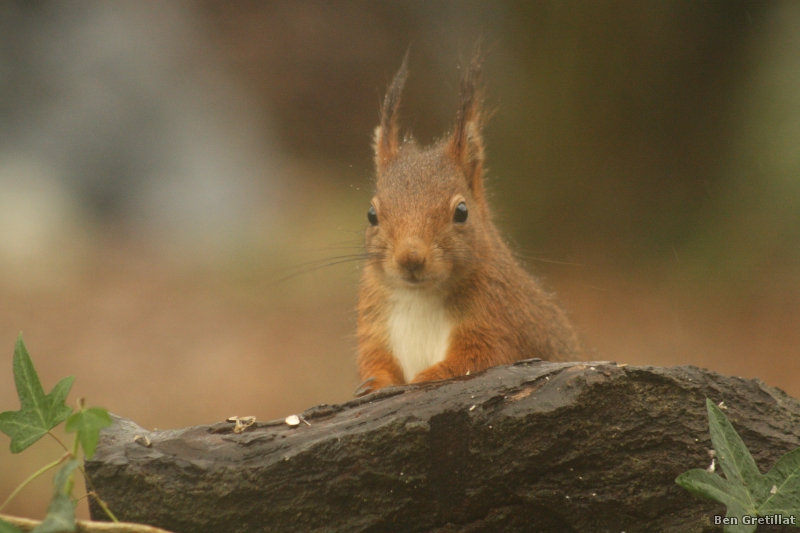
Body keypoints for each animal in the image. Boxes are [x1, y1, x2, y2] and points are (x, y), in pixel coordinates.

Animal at [356, 52, 580, 394]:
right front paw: (372, 387)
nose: (410, 258)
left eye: (461, 212)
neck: (420, 298)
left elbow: (474, 360)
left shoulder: (500, 321)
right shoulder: (375, 326)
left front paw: (424, 378)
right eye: (372, 214)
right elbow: (376, 364)